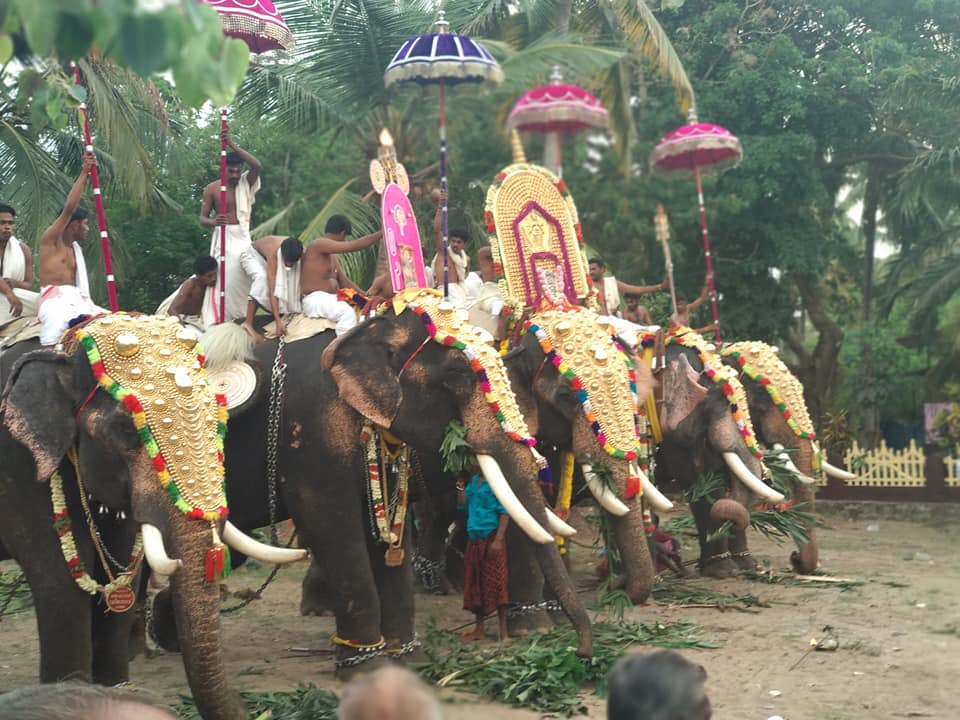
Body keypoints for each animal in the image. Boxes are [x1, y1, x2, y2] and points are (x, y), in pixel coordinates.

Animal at [0, 318, 304, 720]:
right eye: (127, 429)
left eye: (220, 417)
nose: (254, 706)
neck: (62, 352)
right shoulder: (19, 468)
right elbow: (61, 589)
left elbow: (118, 582)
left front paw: (114, 691)